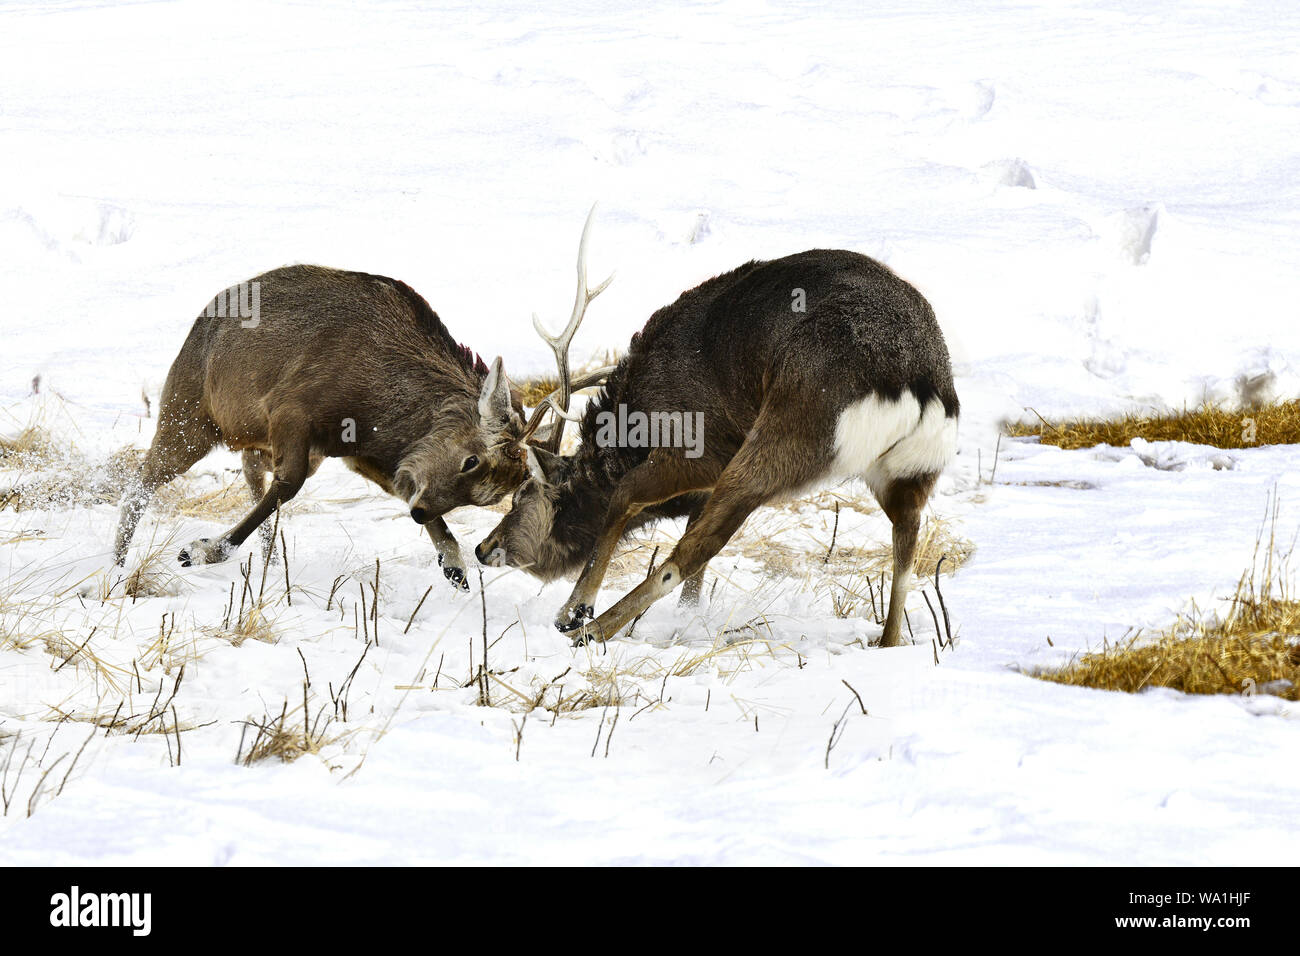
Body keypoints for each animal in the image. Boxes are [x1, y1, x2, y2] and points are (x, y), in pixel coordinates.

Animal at [110, 216, 612, 590]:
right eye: (470, 460)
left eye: (490, 496)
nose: (420, 514)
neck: (373, 402)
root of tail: (204, 317)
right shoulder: (292, 411)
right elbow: (288, 485)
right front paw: (201, 549)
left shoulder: (357, 451)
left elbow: (396, 486)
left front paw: (453, 562)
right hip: (188, 412)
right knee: (141, 480)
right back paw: (115, 567)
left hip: (245, 436)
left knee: (249, 474)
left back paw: (269, 564)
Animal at [475, 246, 960, 647]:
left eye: (522, 494)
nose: (483, 547)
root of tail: (918, 382)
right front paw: (687, 616)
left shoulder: (695, 446)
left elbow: (625, 499)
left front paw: (573, 611)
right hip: (908, 471)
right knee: (906, 543)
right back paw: (887, 641)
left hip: (785, 437)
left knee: (691, 550)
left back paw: (592, 630)